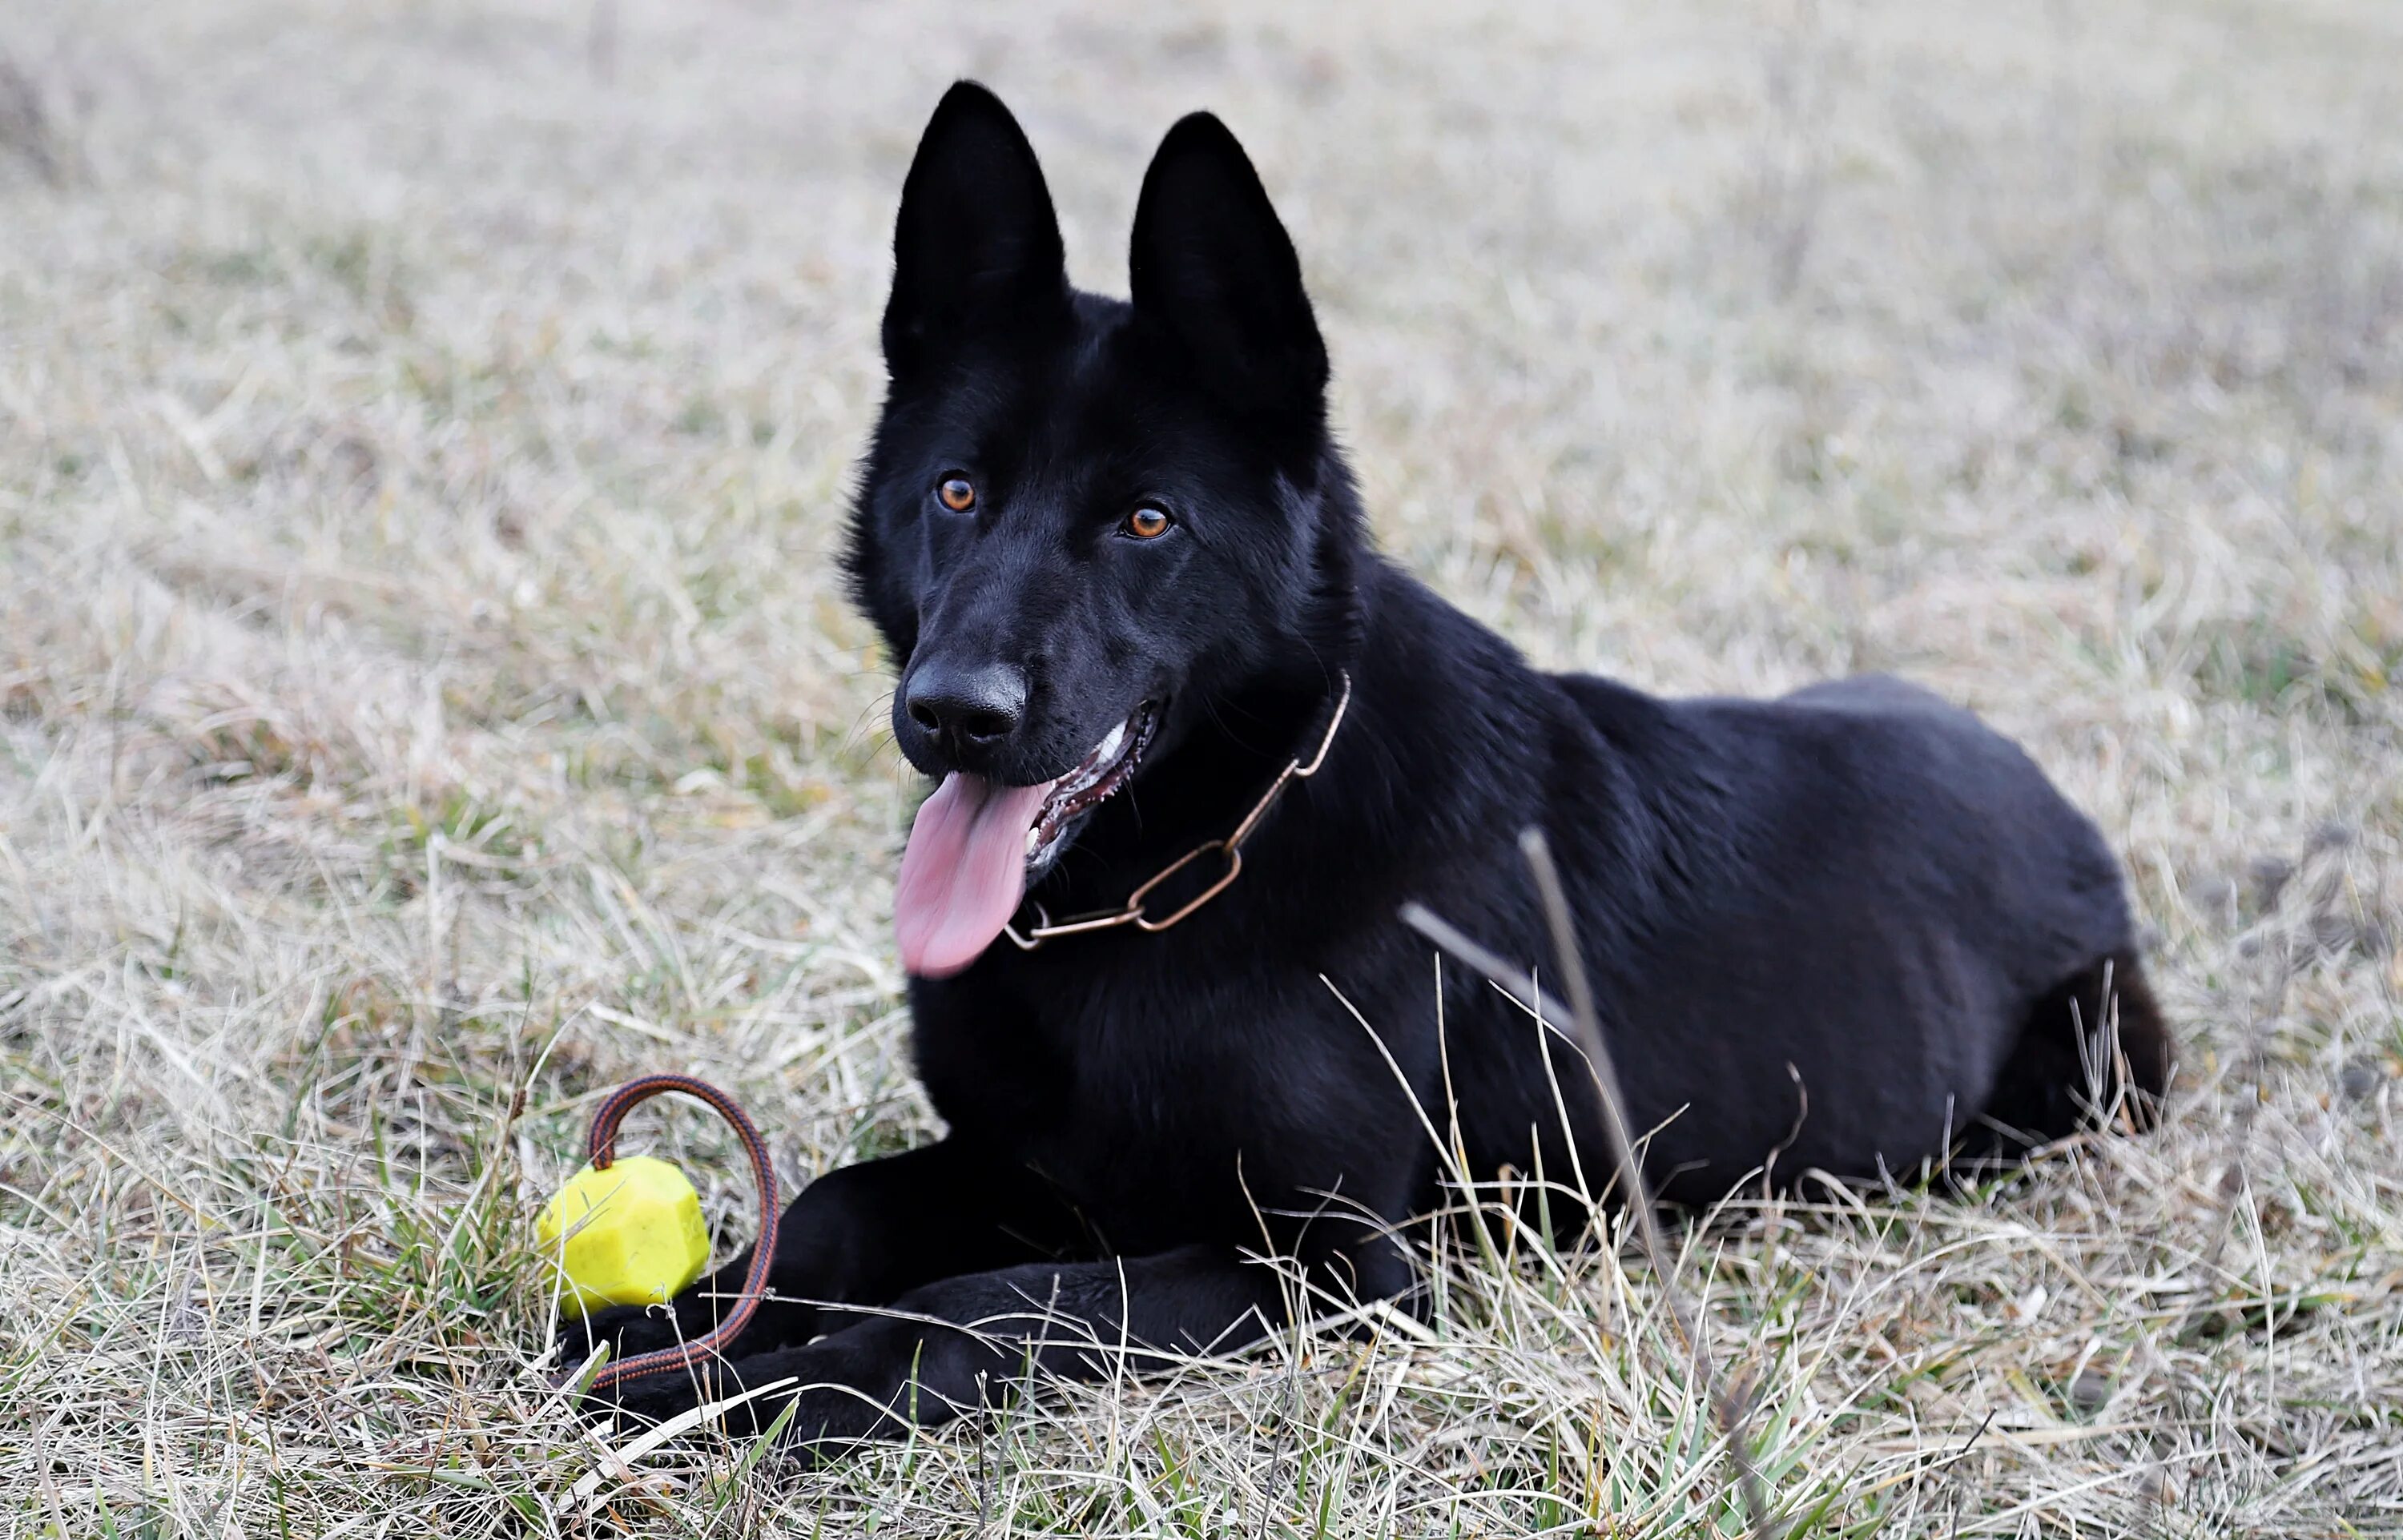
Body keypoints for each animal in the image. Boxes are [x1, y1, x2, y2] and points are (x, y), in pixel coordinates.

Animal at [567, 81, 2182, 1441]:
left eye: (1146, 521)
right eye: (957, 493)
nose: (953, 712)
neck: (1180, 878)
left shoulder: (1331, 1260)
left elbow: (987, 1306)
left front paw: (779, 1380)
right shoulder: (1020, 1162)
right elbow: (836, 1208)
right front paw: (677, 1319)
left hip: (2086, 1075)